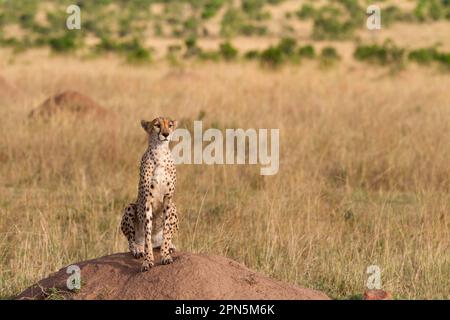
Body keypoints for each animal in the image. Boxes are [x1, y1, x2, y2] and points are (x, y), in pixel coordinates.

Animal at [123, 116, 181, 272]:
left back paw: (169, 246)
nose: (166, 134)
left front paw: (165, 255)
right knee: (132, 240)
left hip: (174, 207)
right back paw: (137, 248)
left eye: (170, 125)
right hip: (130, 207)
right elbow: (147, 235)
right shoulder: (147, 201)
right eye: (157, 125)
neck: (160, 152)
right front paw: (147, 261)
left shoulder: (168, 199)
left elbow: (167, 230)